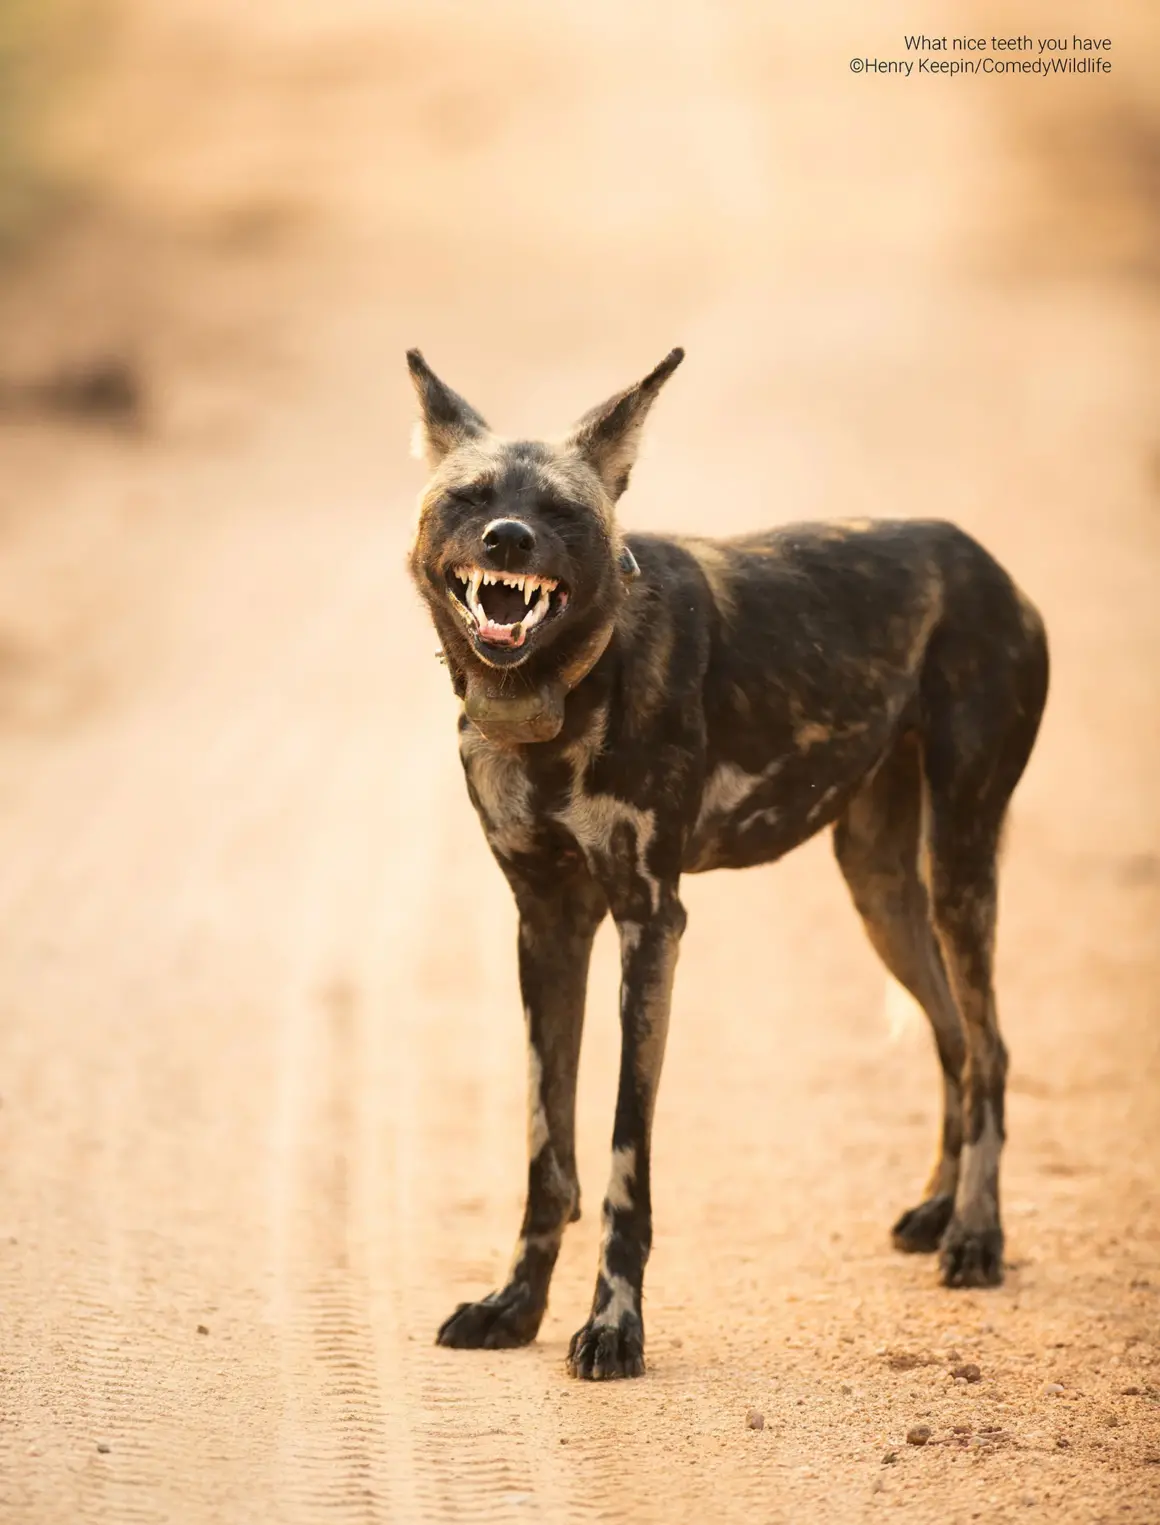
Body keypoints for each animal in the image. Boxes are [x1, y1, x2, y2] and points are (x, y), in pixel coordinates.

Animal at [405, 346, 1048, 1384]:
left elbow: (622, 1159)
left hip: (957, 865)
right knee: (955, 1039)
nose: (508, 539)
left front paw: (614, 1326)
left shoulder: (649, 924)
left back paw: (977, 1236)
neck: (559, 695)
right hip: (881, 889)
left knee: (990, 1050)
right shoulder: (546, 925)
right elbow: (548, 1156)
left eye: (562, 513)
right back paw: (939, 1209)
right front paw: (515, 1306)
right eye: (471, 497)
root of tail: (985, 562)